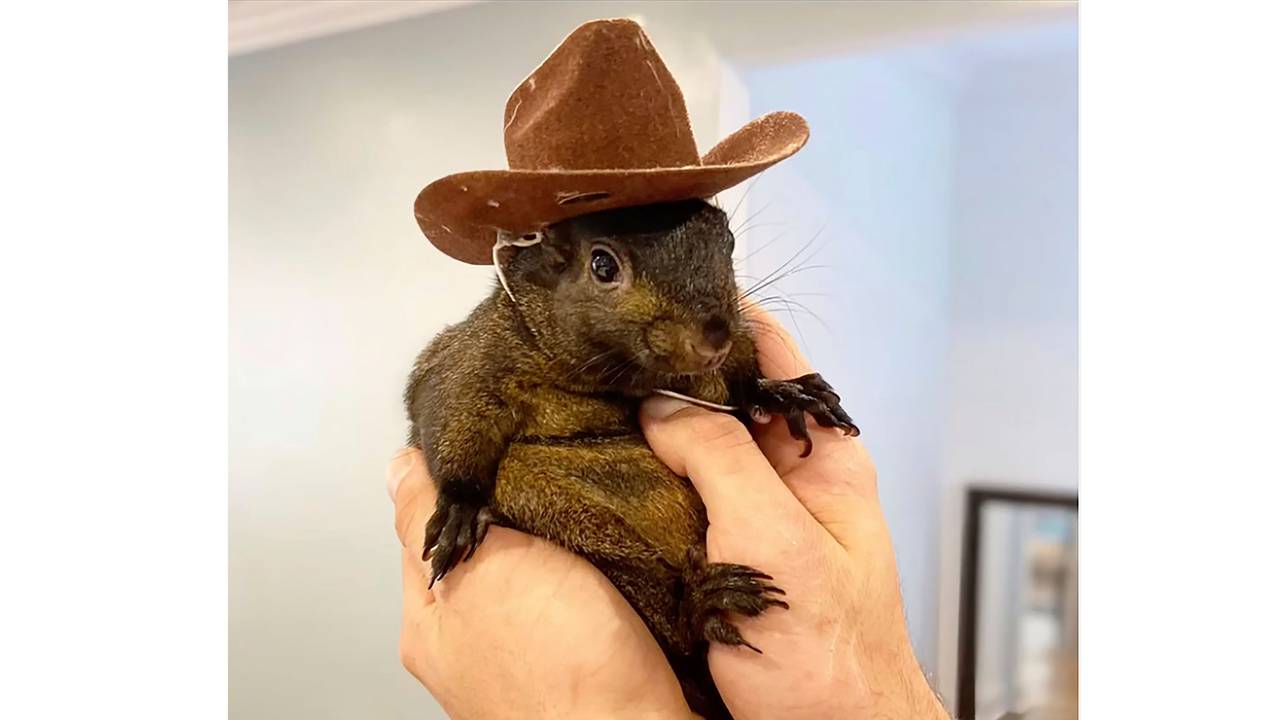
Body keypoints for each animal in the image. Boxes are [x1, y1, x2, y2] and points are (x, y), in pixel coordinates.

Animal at [404, 198, 858, 719]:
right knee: (675, 629)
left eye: (727, 241)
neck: (622, 378)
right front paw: (459, 508)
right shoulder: (474, 358)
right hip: (555, 507)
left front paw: (785, 393)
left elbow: (743, 382)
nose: (713, 338)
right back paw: (700, 604)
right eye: (602, 265)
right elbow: (451, 411)